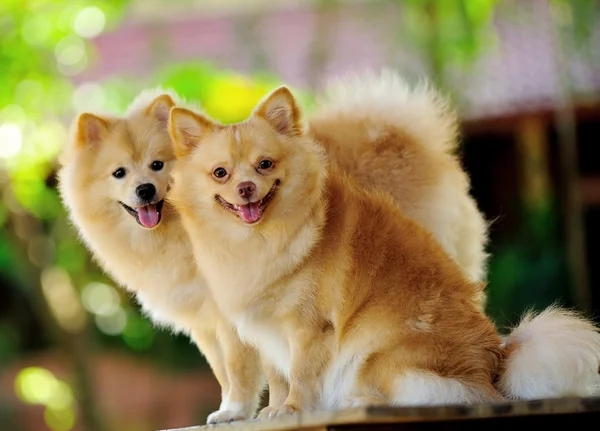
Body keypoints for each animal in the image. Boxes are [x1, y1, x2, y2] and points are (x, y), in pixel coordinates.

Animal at [58, 91, 264, 426]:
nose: (145, 189)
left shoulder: (231, 310)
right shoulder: (203, 320)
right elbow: (222, 370)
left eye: (157, 165)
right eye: (119, 173)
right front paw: (230, 406)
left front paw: (238, 410)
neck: (176, 234)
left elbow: (239, 365)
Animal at [168, 81, 600, 418]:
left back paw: (354, 402)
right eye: (220, 173)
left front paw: (292, 409)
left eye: (265, 164)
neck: (260, 240)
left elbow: (302, 375)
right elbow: (278, 376)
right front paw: (273, 409)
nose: (245, 188)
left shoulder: (310, 328)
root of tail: (497, 364)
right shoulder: (265, 330)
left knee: (419, 395)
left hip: (372, 352)